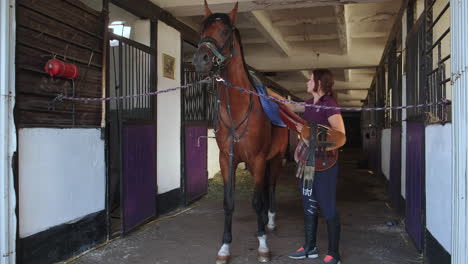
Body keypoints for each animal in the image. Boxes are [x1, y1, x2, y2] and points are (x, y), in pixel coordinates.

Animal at [191, 1, 288, 262]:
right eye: (202, 29)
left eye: (225, 31)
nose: (201, 59)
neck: (238, 108)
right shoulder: (228, 159)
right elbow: (229, 202)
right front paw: (224, 248)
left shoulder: (258, 159)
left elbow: (257, 200)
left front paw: (263, 245)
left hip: (275, 159)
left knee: (270, 189)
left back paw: (270, 222)